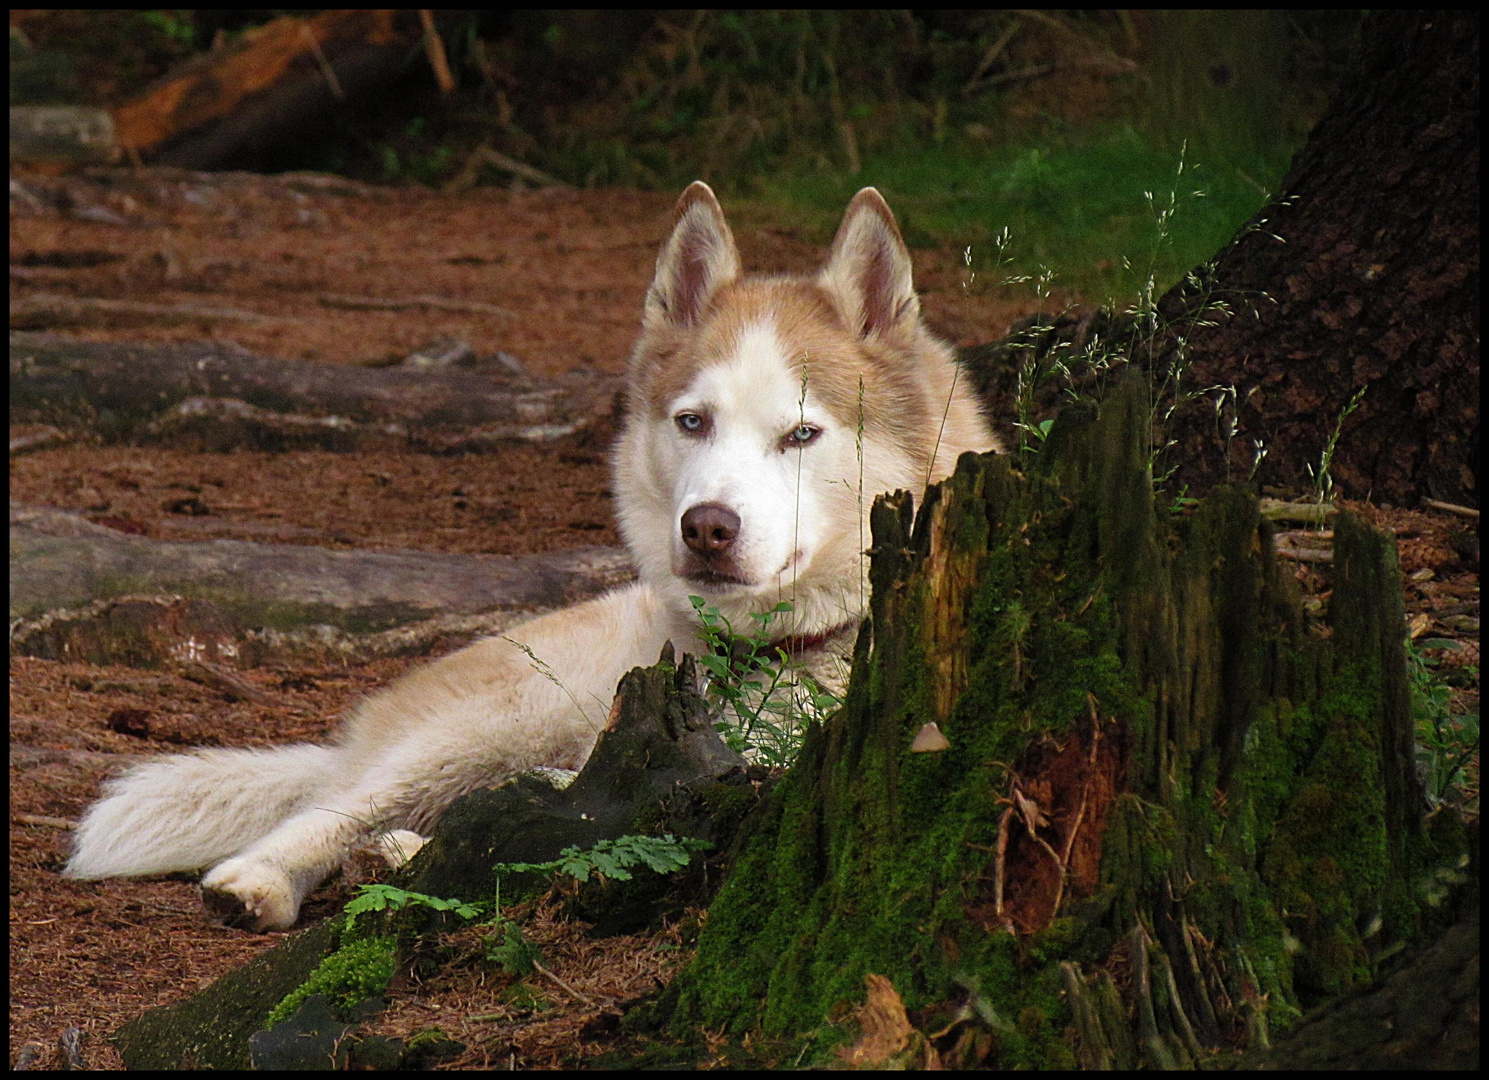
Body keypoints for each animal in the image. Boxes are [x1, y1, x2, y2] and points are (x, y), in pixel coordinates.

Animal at [69, 183, 1000, 929]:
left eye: (801, 433)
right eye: (692, 421)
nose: (706, 527)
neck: (782, 658)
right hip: (496, 721)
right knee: (341, 810)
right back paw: (261, 878)